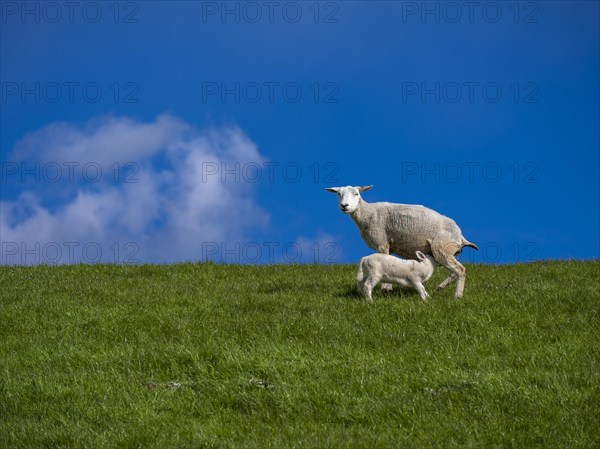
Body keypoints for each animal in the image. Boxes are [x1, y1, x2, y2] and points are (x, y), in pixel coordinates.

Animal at [328, 184, 478, 300]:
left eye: (357, 194)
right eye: (338, 194)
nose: (344, 206)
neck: (368, 214)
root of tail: (460, 236)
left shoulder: (382, 243)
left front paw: (385, 289)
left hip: (442, 248)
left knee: (460, 270)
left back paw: (457, 296)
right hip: (447, 252)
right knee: (453, 272)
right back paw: (441, 287)